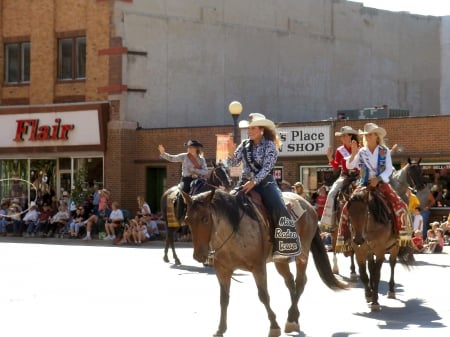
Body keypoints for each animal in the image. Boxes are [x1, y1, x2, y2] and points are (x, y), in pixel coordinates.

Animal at [181, 189, 346, 336]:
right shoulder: (222, 271)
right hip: (281, 260)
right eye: (187, 219)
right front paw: (220, 329)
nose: (199, 255)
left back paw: (291, 320)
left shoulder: (258, 268)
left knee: (300, 282)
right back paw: (294, 317)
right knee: (290, 282)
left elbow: (263, 295)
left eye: (205, 219)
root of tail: (307, 205)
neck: (234, 231)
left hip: (302, 254)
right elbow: (224, 299)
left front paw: (274, 326)